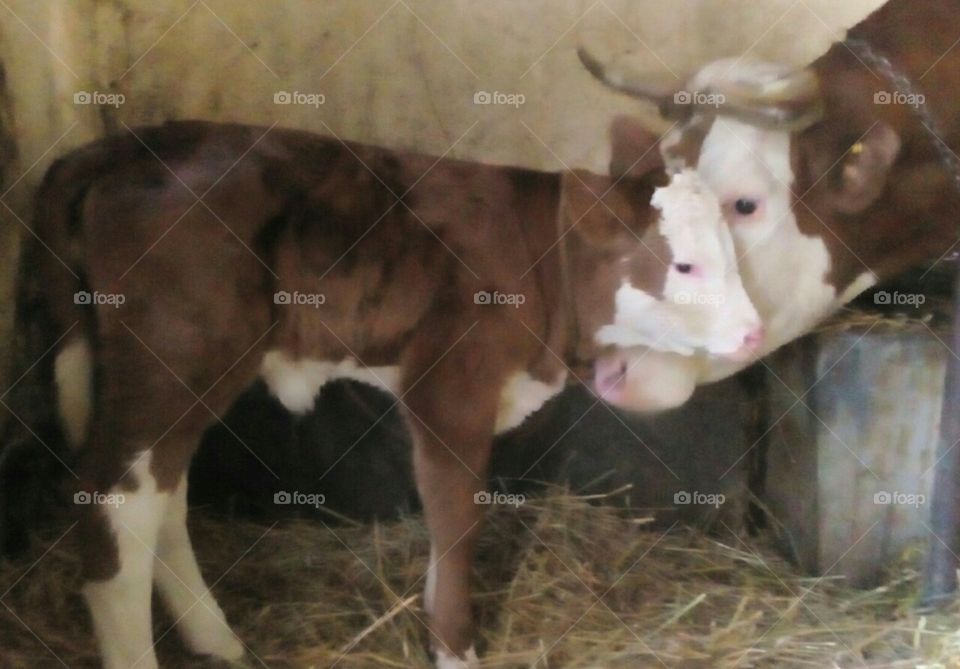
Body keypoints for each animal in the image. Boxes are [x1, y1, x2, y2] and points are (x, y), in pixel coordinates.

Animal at [0, 115, 761, 669]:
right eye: (685, 266)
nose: (755, 333)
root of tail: (116, 147)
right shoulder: (448, 383)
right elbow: (456, 518)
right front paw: (455, 648)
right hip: (175, 356)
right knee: (115, 502)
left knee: (162, 495)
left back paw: (214, 637)